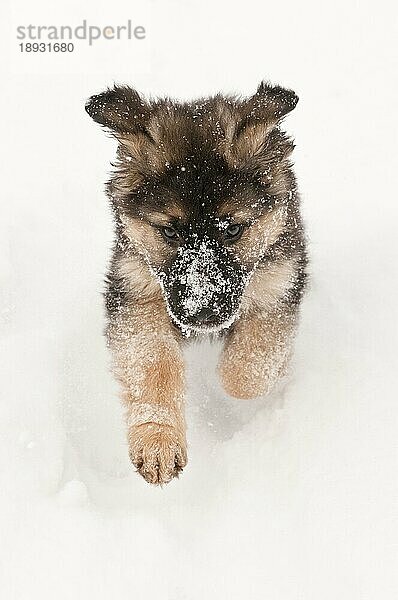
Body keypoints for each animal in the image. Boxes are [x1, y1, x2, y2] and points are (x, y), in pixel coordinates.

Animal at [84, 82, 308, 486]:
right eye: (170, 231)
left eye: (233, 229)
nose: (202, 314)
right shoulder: (136, 294)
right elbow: (153, 366)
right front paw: (157, 444)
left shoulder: (278, 285)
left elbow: (247, 372)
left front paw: (244, 380)